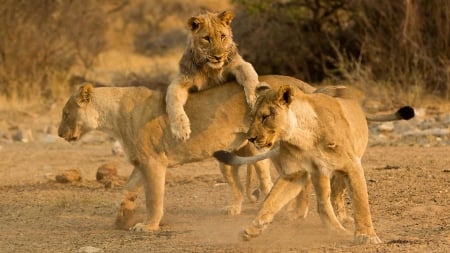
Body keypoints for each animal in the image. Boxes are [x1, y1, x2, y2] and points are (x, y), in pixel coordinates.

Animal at [166, 10, 258, 140]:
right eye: (206, 38)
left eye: (222, 36)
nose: (218, 57)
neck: (210, 69)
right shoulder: (183, 79)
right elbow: (172, 99)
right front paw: (180, 130)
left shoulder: (237, 64)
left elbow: (249, 73)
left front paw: (254, 98)